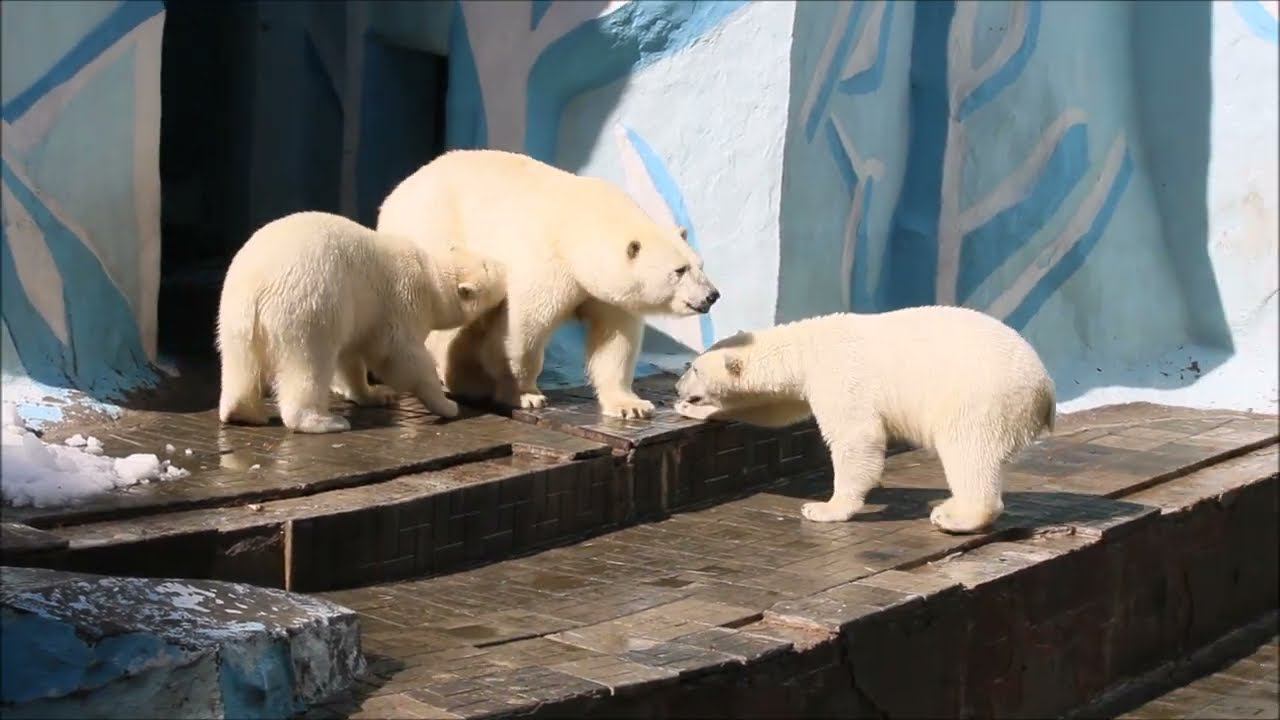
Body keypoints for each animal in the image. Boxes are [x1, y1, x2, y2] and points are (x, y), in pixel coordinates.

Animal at [216, 211, 506, 434]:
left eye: (486, 260)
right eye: (488, 267)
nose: (503, 267)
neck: (429, 276)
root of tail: (256, 288)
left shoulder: (361, 316)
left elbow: (350, 357)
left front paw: (375, 395)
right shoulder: (401, 302)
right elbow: (402, 358)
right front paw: (447, 406)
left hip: (233, 318)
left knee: (240, 363)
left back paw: (242, 412)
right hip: (307, 306)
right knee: (309, 363)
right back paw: (325, 421)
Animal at [377, 149, 720, 419]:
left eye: (700, 265)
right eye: (679, 270)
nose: (712, 295)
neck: (583, 227)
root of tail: (395, 193)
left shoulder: (607, 293)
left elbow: (615, 342)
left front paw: (631, 405)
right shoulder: (549, 263)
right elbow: (522, 329)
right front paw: (525, 394)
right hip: (435, 231)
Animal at [672, 306, 1056, 534]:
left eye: (694, 368)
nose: (677, 387)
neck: (807, 346)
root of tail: (1045, 390)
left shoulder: (841, 377)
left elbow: (856, 439)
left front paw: (824, 508)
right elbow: (776, 409)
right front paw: (692, 409)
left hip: (978, 399)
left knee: (967, 452)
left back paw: (953, 516)